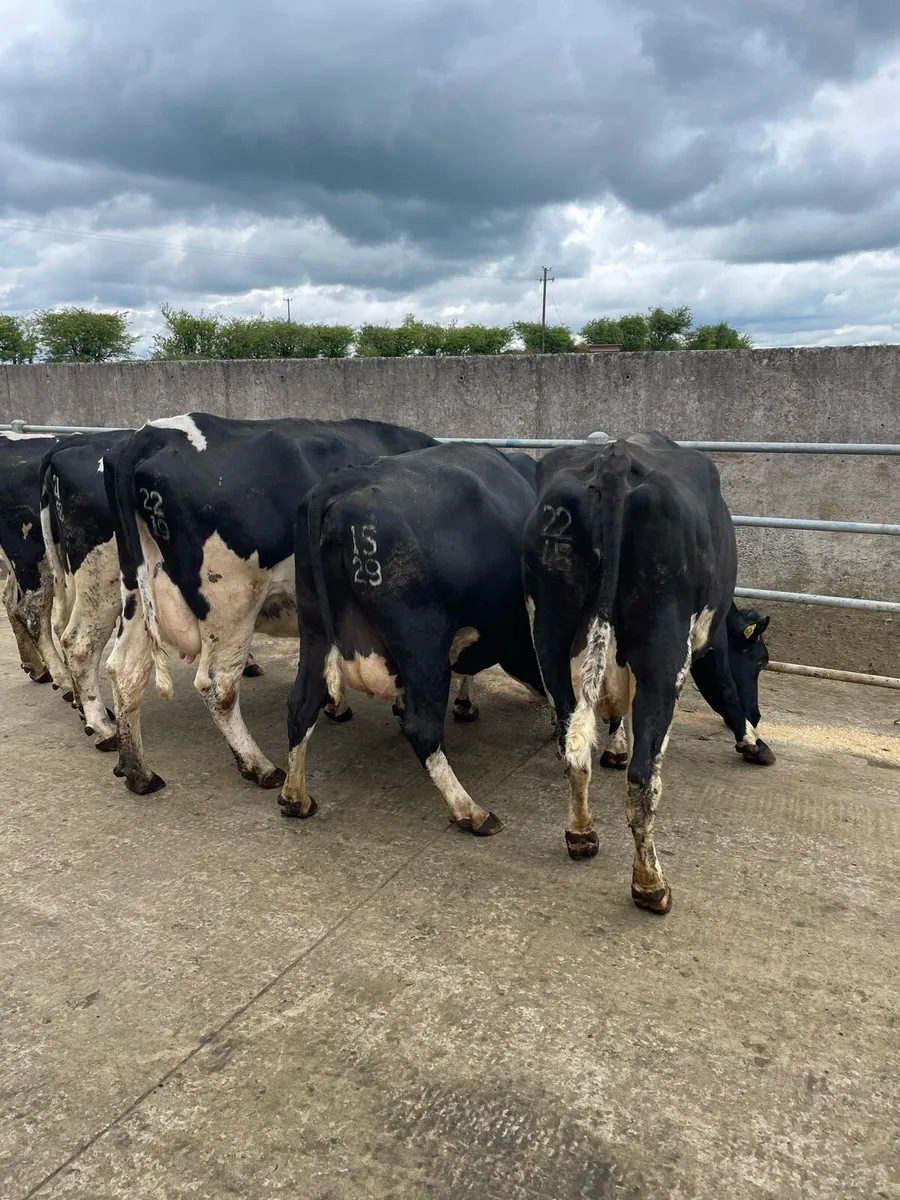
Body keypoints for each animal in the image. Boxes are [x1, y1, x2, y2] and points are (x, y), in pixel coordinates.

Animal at [105, 413, 437, 796]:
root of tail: (155, 433)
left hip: (138, 592)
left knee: (124, 669)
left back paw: (138, 772)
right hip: (232, 602)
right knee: (218, 687)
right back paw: (258, 766)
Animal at [278, 441, 545, 834]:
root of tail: (339, 484)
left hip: (313, 627)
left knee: (302, 704)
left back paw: (296, 797)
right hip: (422, 641)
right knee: (423, 727)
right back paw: (471, 811)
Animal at [522, 432, 775, 916]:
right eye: (760, 660)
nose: (760, 714)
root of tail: (614, 459)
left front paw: (615, 747)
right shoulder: (710, 637)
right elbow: (724, 688)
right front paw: (752, 741)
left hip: (548, 635)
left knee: (571, 746)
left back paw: (581, 833)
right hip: (664, 648)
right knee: (642, 777)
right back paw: (650, 884)